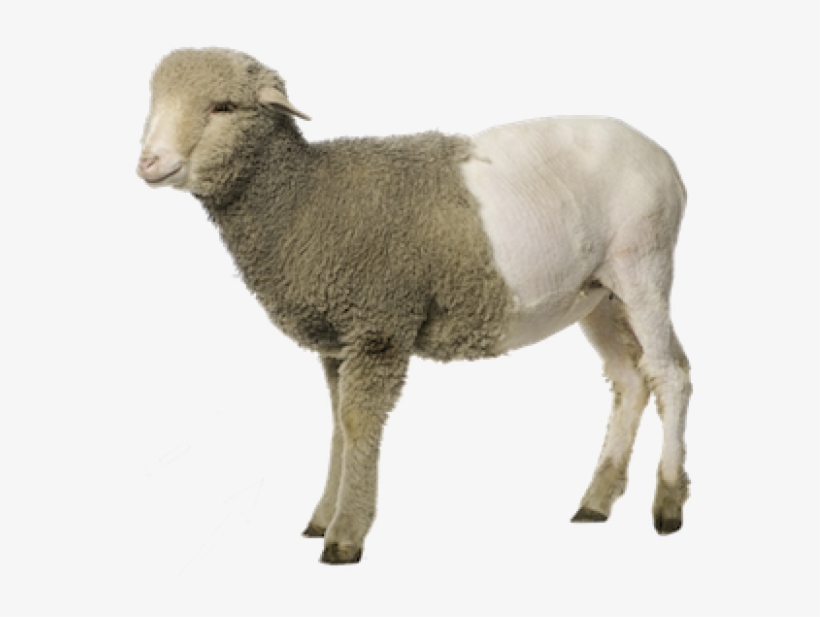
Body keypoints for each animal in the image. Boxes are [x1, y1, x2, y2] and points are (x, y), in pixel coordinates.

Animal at [137, 47, 692, 565]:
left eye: (223, 107)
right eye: (155, 101)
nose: (148, 162)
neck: (304, 197)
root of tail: (661, 155)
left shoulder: (379, 325)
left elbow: (358, 423)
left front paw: (345, 535)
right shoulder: (340, 340)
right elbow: (337, 425)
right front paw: (323, 516)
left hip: (644, 262)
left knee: (669, 374)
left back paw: (667, 504)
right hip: (597, 292)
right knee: (629, 378)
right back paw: (596, 500)